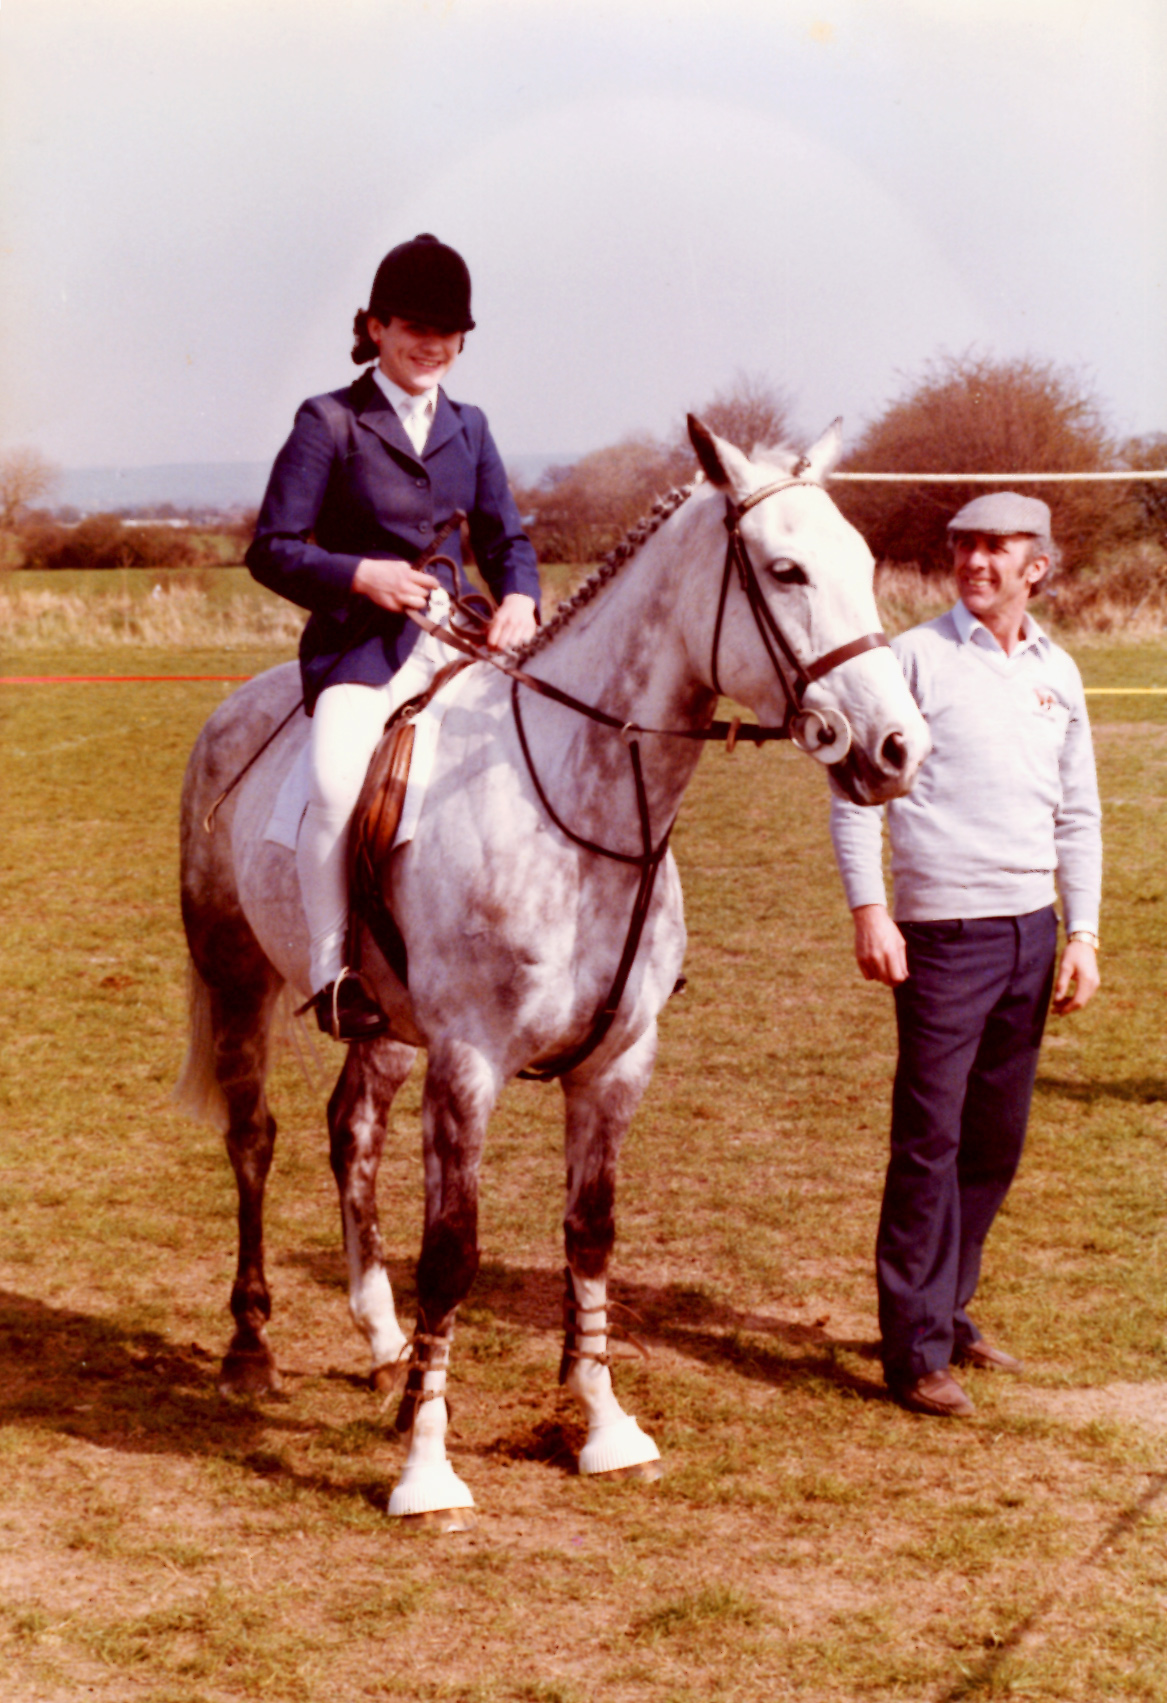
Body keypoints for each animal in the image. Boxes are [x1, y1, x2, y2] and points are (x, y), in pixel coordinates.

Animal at [175, 418, 926, 1525]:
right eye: (785, 570)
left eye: (865, 564)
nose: (896, 749)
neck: (579, 805)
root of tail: (237, 708)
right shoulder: (470, 1062)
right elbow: (453, 1250)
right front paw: (428, 1472)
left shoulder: (615, 1062)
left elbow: (591, 1230)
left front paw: (602, 1423)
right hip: (234, 978)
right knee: (254, 1139)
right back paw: (252, 1347)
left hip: (384, 1025)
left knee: (352, 1133)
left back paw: (384, 1344)